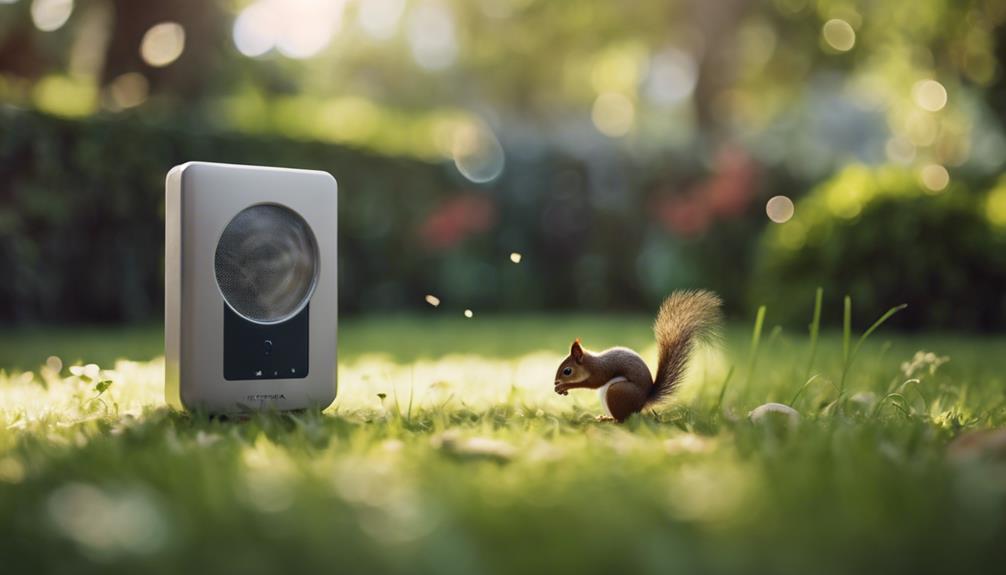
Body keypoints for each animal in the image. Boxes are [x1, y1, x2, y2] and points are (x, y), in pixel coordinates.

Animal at [551, 291, 724, 422]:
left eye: (567, 371)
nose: (555, 382)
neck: (589, 363)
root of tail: (642, 402)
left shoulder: (600, 371)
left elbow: (592, 383)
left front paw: (564, 387)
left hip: (616, 392)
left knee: (623, 419)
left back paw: (611, 420)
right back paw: (606, 417)